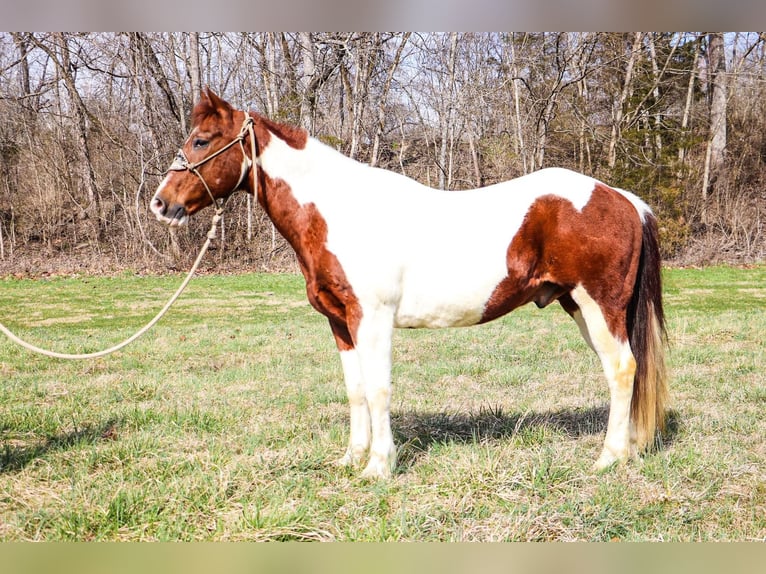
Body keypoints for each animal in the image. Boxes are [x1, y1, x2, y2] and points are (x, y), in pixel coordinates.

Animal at [150, 89, 664, 482]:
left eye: (201, 140)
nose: (160, 203)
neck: (340, 212)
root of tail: (623, 198)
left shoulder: (373, 319)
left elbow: (379, 389)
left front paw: (379, 467)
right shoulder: (341, 323)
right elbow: (356, 390)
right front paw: (351, 459)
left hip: (599, 305)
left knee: (622, 369)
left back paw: (608, 459)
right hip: (579, 307)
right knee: (620, 369)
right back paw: (627, 449)